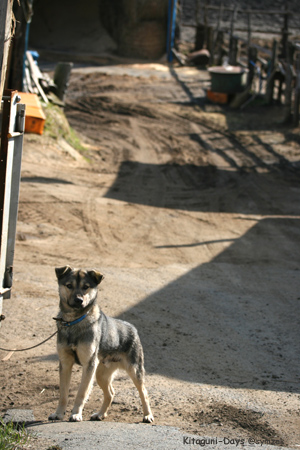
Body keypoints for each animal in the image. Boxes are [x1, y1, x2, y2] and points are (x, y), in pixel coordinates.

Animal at [48, 266, 155, 424]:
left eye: (86, 287)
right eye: (69, 285)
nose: (79, 300)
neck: (75, 321)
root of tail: (132, 328)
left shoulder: (88, 365)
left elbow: (81, 393)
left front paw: (76, 414)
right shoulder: (66, 364)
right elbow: (63, 394)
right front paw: (59, 414)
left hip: (134, 371)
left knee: (144, 392)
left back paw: (148, 415)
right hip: (101, 374)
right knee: (110, 393)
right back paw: (100, 414)